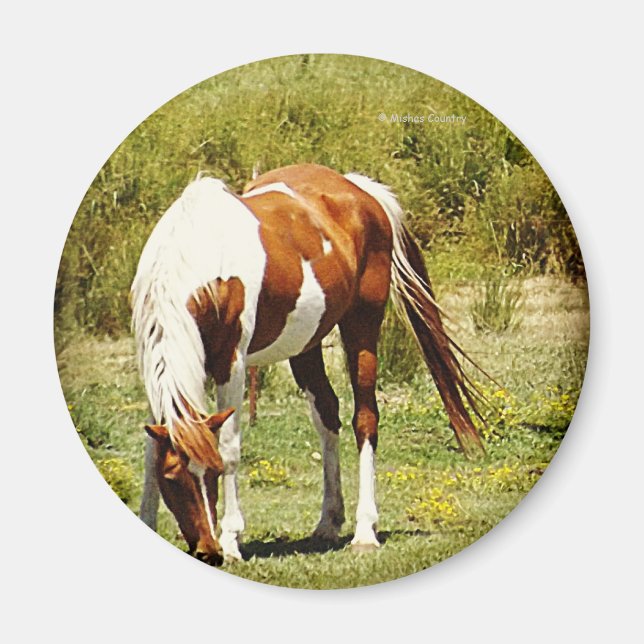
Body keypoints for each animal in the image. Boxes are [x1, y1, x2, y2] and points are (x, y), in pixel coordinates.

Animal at [132, 163, 483, 565]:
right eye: (172, 480)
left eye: (214, 474)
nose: (208, 551)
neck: (196, 260)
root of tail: (359, 190)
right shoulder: (153, 370)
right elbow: (151, 451)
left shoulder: (230, 364)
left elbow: (231, 446)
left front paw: (233, 541)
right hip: (306, 345)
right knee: (327, 415)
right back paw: (329, 521)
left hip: (362, 328)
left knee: (365, 420)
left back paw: (365, 530)